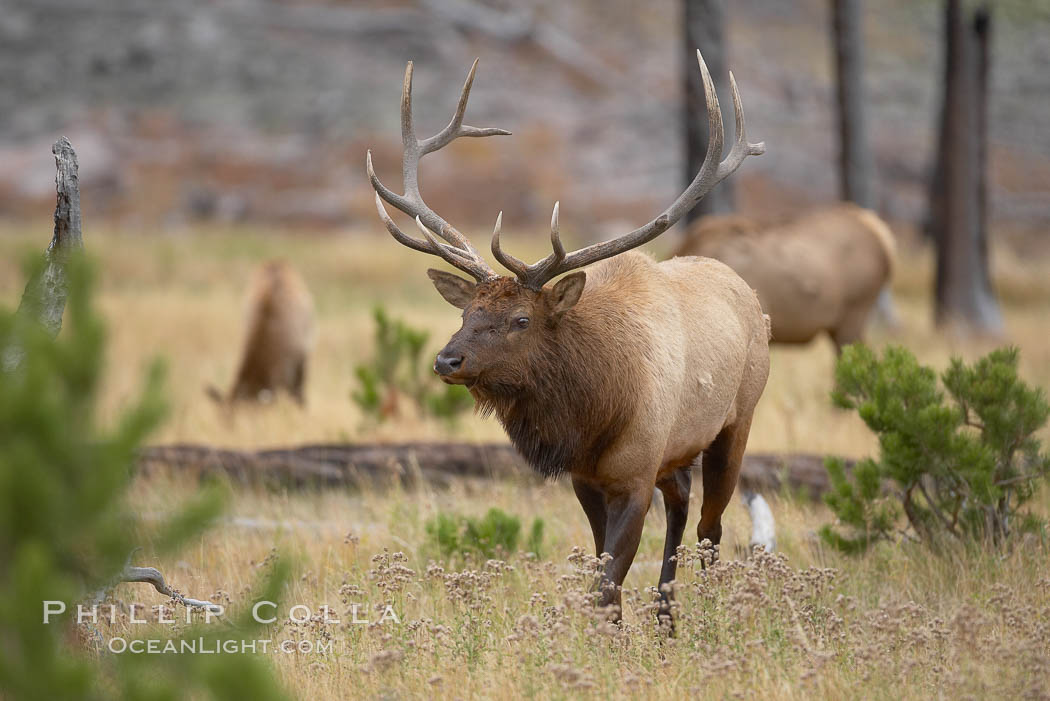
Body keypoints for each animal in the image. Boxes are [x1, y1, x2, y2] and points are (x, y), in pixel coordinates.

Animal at [365, 53, 768, 625]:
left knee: (711, 527)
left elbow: (608, 579)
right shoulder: (587, 477)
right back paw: (665, 616)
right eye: (467, 311)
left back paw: (704, 614)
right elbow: (603, 577)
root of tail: (749, 294)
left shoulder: (634, 474)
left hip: (737, 422)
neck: (596, 415)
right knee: (683, 502)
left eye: (521, 320)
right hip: (676, 452)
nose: (447, 360)